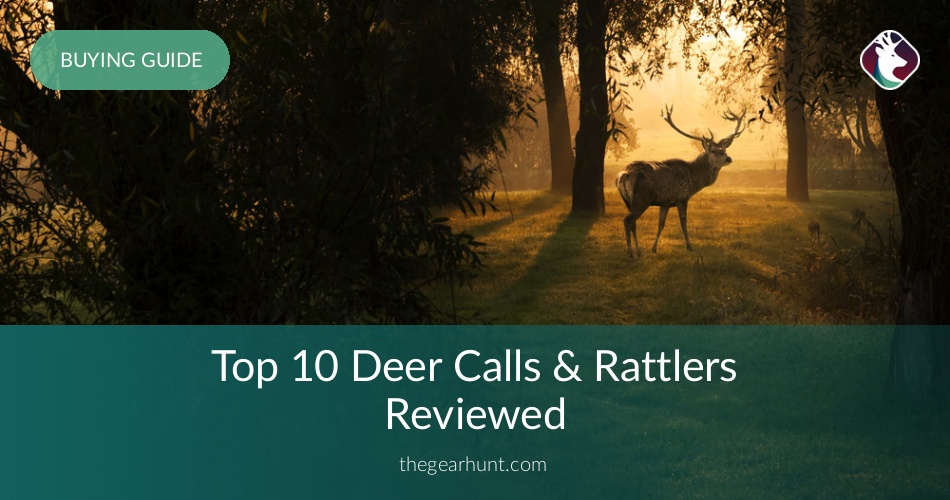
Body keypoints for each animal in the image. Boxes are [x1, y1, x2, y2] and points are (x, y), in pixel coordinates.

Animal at [616, 105, 746, 257]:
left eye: (724, 149)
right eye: (714, 150)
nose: (728, 158)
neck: (694, 178)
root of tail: (623, 175)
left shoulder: (665, 202)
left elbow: (661, 224)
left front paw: (653, 249)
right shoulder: (682, 198)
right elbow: (683, 222)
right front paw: (689, 246)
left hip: (627, 200)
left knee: (633, 222)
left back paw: (638, 251)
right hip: (641, 198)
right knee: (627, 220)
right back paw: (631, 252)